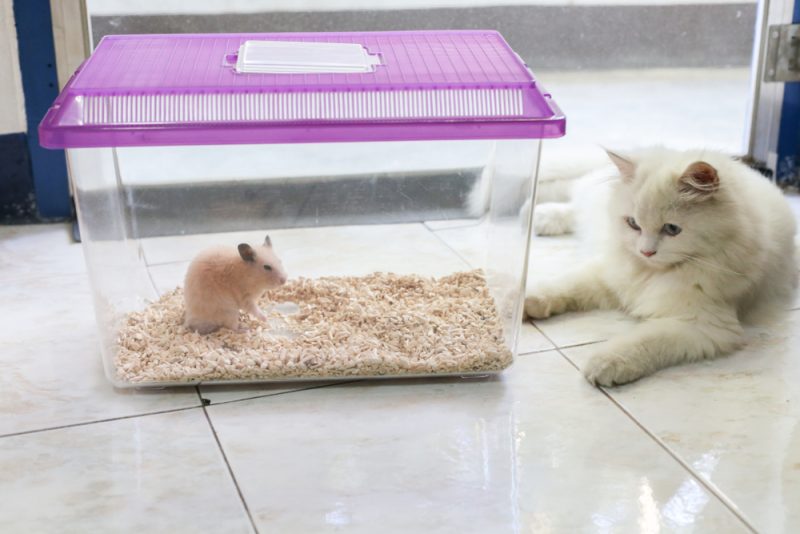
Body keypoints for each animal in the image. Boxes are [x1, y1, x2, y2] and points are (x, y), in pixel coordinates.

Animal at [528, 149, 796, 388]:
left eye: (672, 229)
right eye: (633, 224)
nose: (645, 252)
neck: (650, 274)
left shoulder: (703, 325)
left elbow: (643, 340)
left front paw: (605, 363)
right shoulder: (606, 274)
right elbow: (562, 285)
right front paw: (526, 301)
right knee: (572, 195)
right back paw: (537, 214)